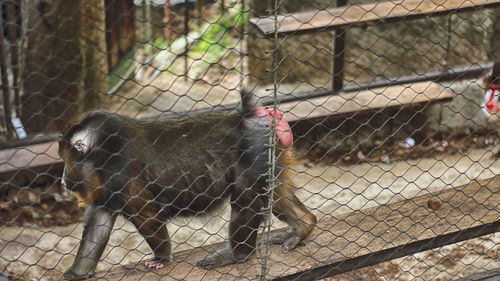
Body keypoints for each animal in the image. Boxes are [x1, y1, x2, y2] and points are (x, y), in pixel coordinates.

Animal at [59, 89, 316, 278]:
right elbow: (98, 225)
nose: (62, 179)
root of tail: (247, 116)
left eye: (64, 160)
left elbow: (148, 218)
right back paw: (303, 225)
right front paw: (77, 273)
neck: (104, 152)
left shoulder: (123, 176)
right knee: (277, 195)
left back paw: (238, 255)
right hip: (271, 155)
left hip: (255, 154)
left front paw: (161, 259)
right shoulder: (105, 191)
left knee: (246, 201)